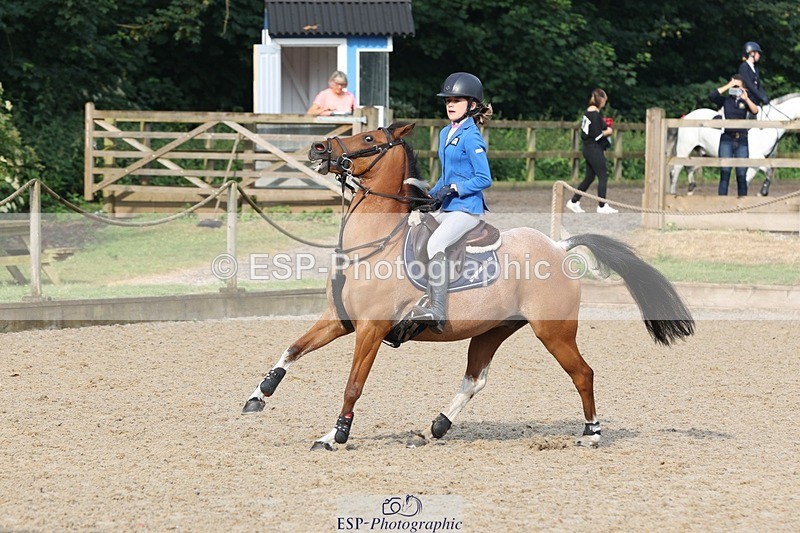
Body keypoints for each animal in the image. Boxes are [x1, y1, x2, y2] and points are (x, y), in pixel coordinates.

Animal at [241, 122, 695, 450]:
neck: (374, 243)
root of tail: (558, 246)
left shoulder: (370, 329)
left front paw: (333, 436)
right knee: (475, 379)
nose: (318, 148)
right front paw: (260, 394)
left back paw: (591, 433)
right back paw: (437, 427)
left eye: (368, 138)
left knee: (583, 373)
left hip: (555, 331)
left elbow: (353, 385)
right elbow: (293, 348)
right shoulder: (340, 320)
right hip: (493, 329)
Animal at [668, 93, 800, 196]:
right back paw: (673, 193)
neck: (768, 126)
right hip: (684, 149)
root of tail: (686, 117)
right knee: (676, 170)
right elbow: (768, 171)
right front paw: (762, 192)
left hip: (701, 152)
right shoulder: (756, 157)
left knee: (689, 167)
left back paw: (691, 188)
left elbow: (749, 179)